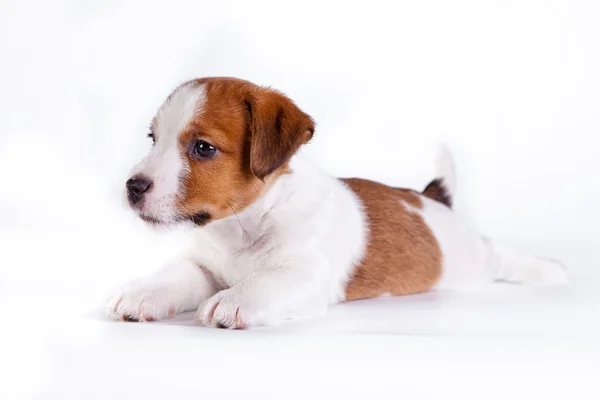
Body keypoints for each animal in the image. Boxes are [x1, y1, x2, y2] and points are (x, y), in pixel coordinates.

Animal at [106, 76, 568, 330]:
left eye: (203, 148)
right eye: (153, 139)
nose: (132, 186)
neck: (244, 224)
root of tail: (428, 200)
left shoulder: (307, 273)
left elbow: (266, 280)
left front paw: (236, 300)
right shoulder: (204, 266)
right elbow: (175, 274)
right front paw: (145, 292)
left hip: (469, 263)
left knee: (498, 253)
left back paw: (549, 270)